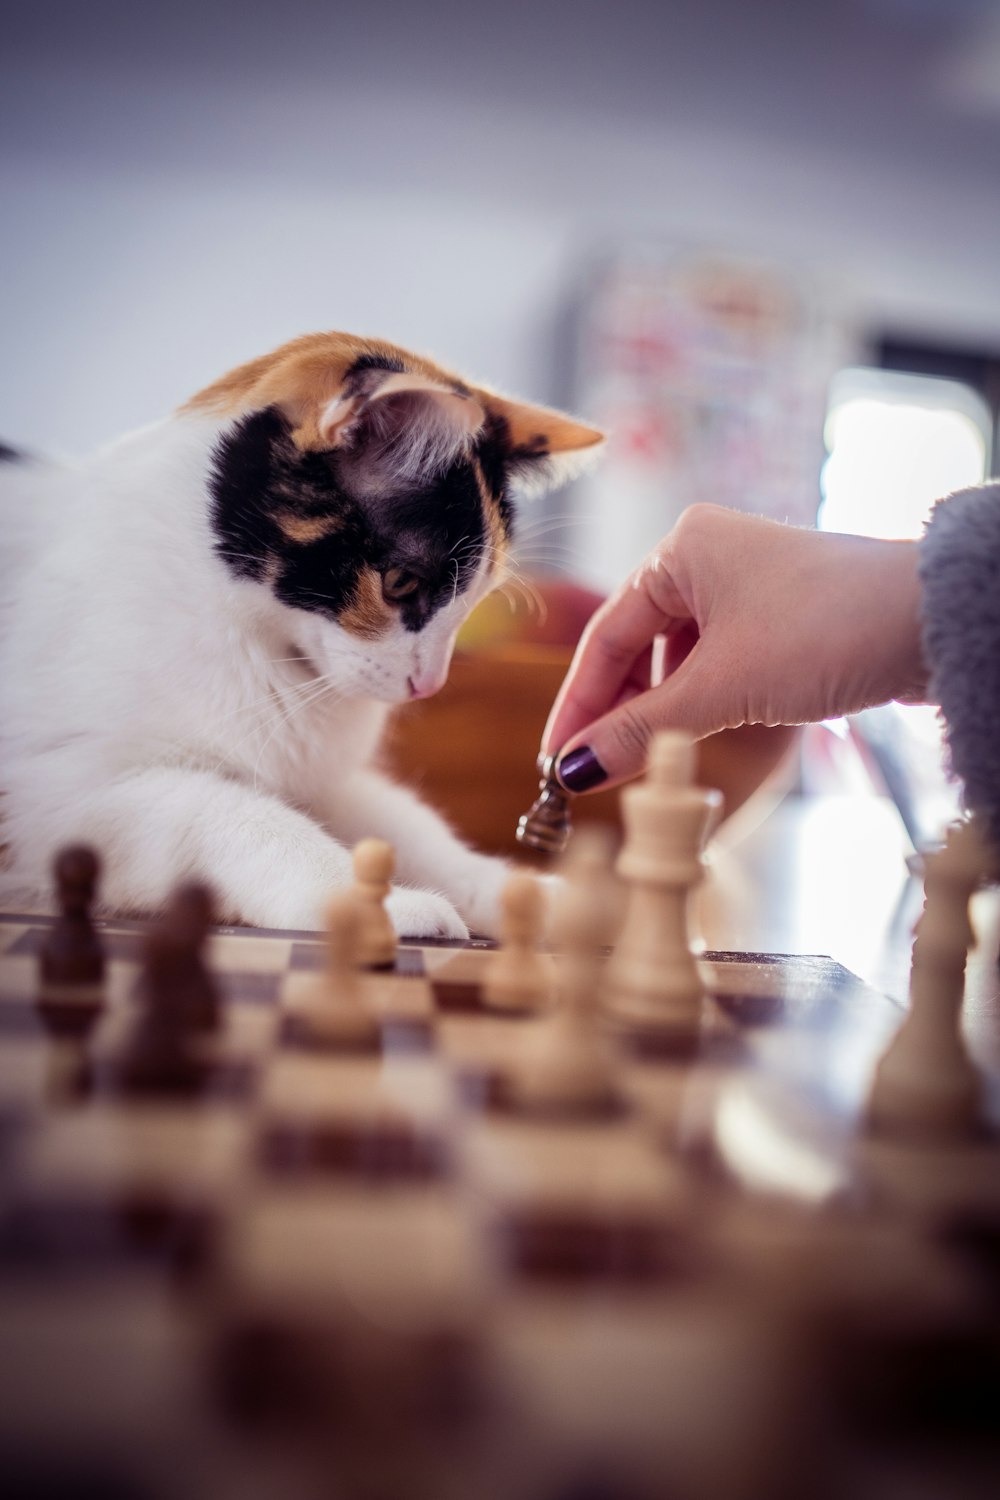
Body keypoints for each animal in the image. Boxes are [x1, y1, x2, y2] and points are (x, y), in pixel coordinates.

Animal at [0, 334, 602, 930]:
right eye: (400, 583)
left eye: (475, 599)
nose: (428, 683)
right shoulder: (58, 793)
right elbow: (230, 814)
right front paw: (369, 902)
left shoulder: (333, 784)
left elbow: (411, 829)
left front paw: (522, 897)